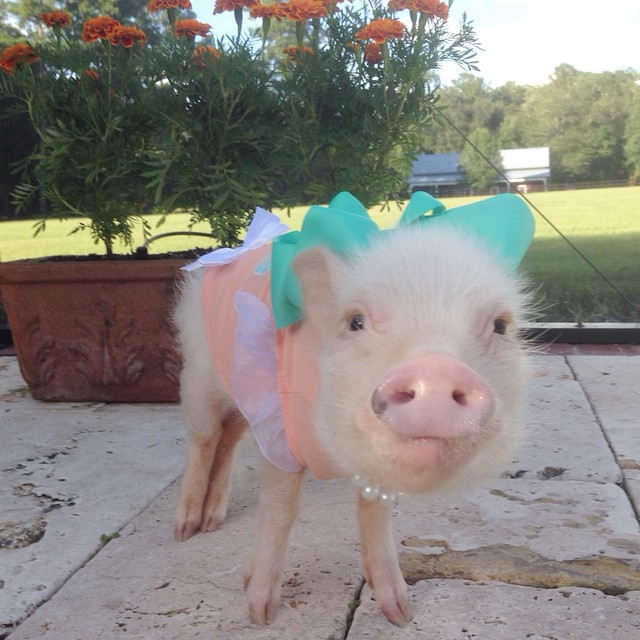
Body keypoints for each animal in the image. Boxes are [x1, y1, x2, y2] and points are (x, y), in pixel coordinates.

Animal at [173, 192, 533, 626]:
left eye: (499, 326)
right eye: (355, 321)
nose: (436, 370)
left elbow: (374, 513)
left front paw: (399, 614)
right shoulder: (278, 436)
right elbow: (279, 509)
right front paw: (259, 613)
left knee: (231, 434)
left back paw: (213, 520)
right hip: (199, 373)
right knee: (205, 437)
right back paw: (187, 529)